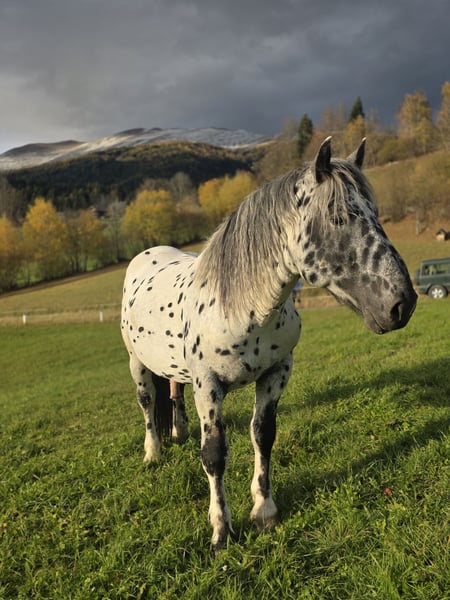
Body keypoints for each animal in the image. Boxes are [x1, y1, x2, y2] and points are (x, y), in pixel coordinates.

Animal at [121, 137, 417, 551]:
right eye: (338, 218)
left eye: (375, 213)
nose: (402, 304)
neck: (241, 306)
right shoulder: (208, 385)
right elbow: (213, 454)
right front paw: (221, 531)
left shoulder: (277, 372)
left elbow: (263, 435)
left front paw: (264, 509)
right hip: (137, 363)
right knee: (148, 403)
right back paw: (153, 452)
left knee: (174, 392)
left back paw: (177, 431)